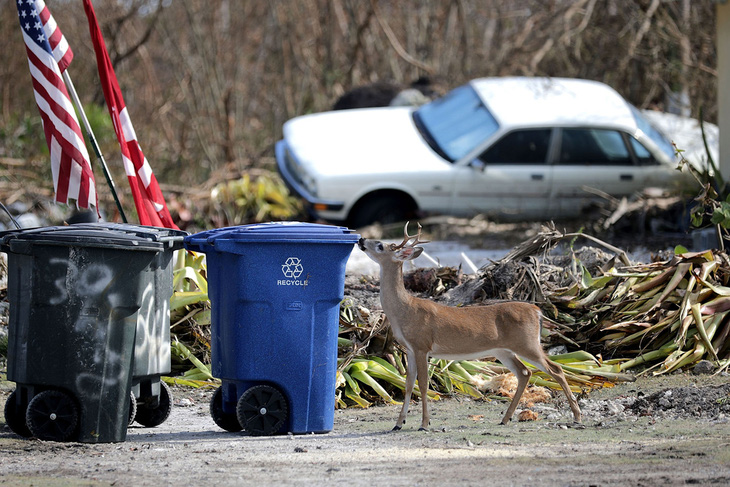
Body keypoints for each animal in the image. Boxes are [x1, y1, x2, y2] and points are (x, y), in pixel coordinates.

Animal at [358, 223, 580, 432]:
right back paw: (505, 418)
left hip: (527, 344)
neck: (404, 309)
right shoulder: (410, 349)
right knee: (525, 373)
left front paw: (424, 423)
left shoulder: (422, 346)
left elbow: (423, 385)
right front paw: (398, 423)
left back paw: (577, 416)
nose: (361, 239)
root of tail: (537, 311)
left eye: (380, 245)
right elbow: (408, 384)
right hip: (504, 350)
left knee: (556, 369)